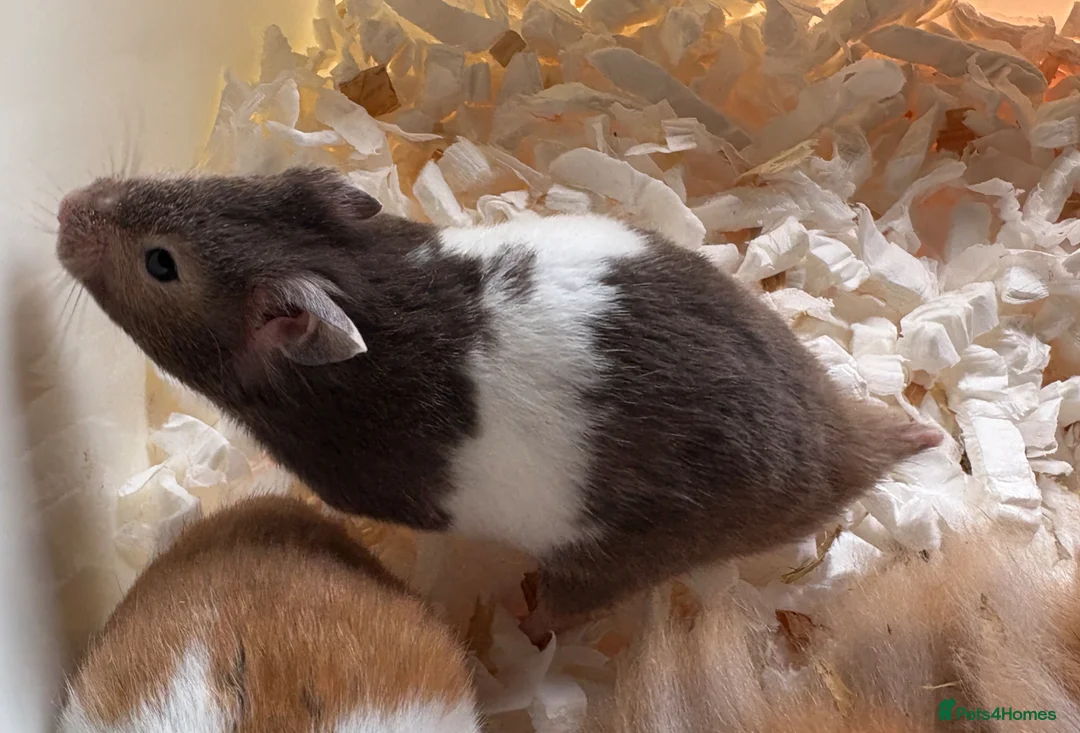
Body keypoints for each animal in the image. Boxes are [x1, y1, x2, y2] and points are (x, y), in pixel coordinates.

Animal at [55, 166, 941, 642]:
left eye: (160, 264)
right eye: (214, 181)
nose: (66, 207)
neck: (360, 283)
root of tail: (840, 452)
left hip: (606, 560)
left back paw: (523, 620)